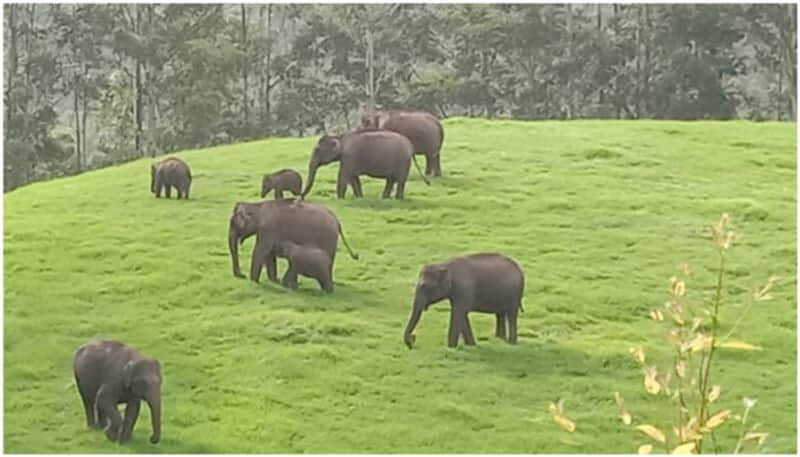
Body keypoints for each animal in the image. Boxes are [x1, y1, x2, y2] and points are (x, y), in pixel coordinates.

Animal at [230, 199, 358, 282]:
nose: (241, 275)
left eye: (233, 224)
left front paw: (253, 281)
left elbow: (261, 251)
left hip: (328, 238)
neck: (258, 206)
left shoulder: (268, 229)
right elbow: (269, 253)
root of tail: (337, 220)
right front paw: (275, 280)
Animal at [300, 129, 428, 199]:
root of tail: (410, 145)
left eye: (317, 150)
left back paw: (397, 199)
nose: (301, 197)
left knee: (400, 181)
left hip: (403, 162)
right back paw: (384, 198)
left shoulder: (349, 157)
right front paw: (359, 197)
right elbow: (353, 179)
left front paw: (340, 199)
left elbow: (343, 176)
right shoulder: (349, 160)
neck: (340, 137)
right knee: (391, 180)